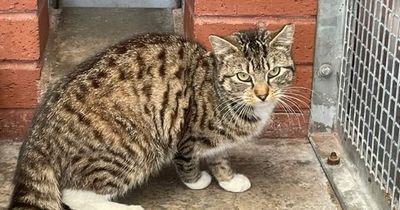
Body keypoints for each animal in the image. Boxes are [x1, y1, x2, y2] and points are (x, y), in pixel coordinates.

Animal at [6, 23, 294, 209]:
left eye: (274, 72)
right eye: (243, 76)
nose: (262, 94)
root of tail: (37, 138)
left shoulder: (217, 140)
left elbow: (219, 156)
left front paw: (229, 179)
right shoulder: (186, 134)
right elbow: (187, 160)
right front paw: (197, 181)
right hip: (133, 149)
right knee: (73, 195)